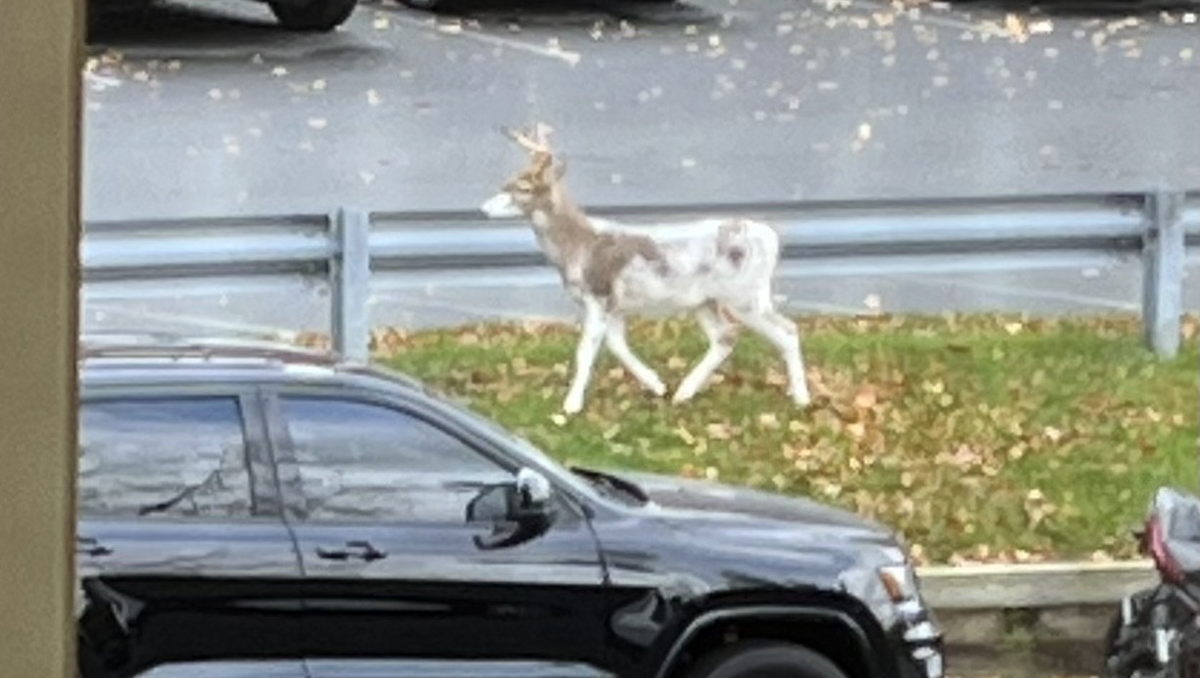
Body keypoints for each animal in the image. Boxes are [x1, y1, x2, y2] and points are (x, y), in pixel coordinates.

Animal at [479, 122, 812, 415]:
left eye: (524, 186)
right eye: (508, 179)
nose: (482, 209)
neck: (579, 247)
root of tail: (770, 238)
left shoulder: (599, 295)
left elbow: (586, 350)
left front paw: (571, 405)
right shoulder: (615, 304)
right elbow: (617, 345)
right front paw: (656, 384)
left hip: (745, 294)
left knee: (787, 330)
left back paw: (802, 398)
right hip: (706, 300)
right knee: (726, 336)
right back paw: (683, 392)